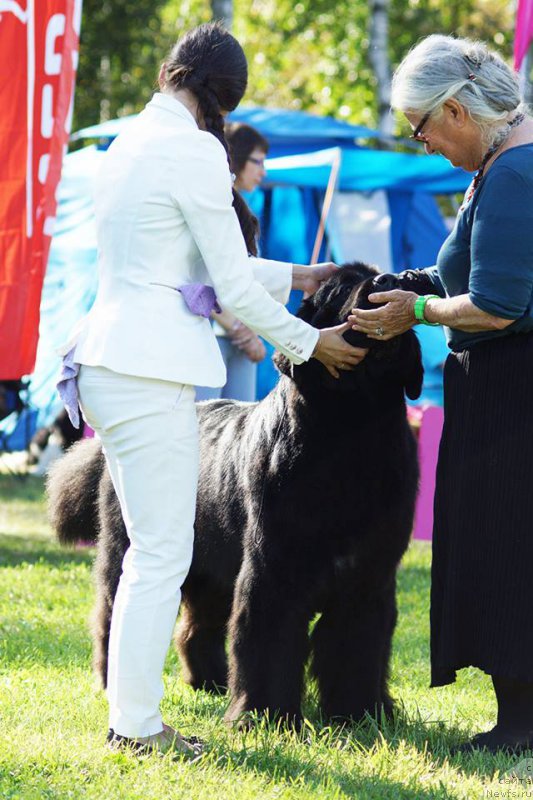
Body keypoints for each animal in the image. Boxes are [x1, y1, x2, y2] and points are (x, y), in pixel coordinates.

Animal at [47, 262, 422, 724]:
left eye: (383, 276)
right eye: (342, 288)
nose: (389, 281)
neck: (352, 430)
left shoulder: (367, 576)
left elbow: (357, 646)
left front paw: (360, 713)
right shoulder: (274, 569)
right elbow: (268, 640)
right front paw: (264, 716)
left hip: (212, 568)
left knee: (197, 626)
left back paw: (210, 682)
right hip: (128, 547)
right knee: (111, 614)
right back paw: (110, 683)